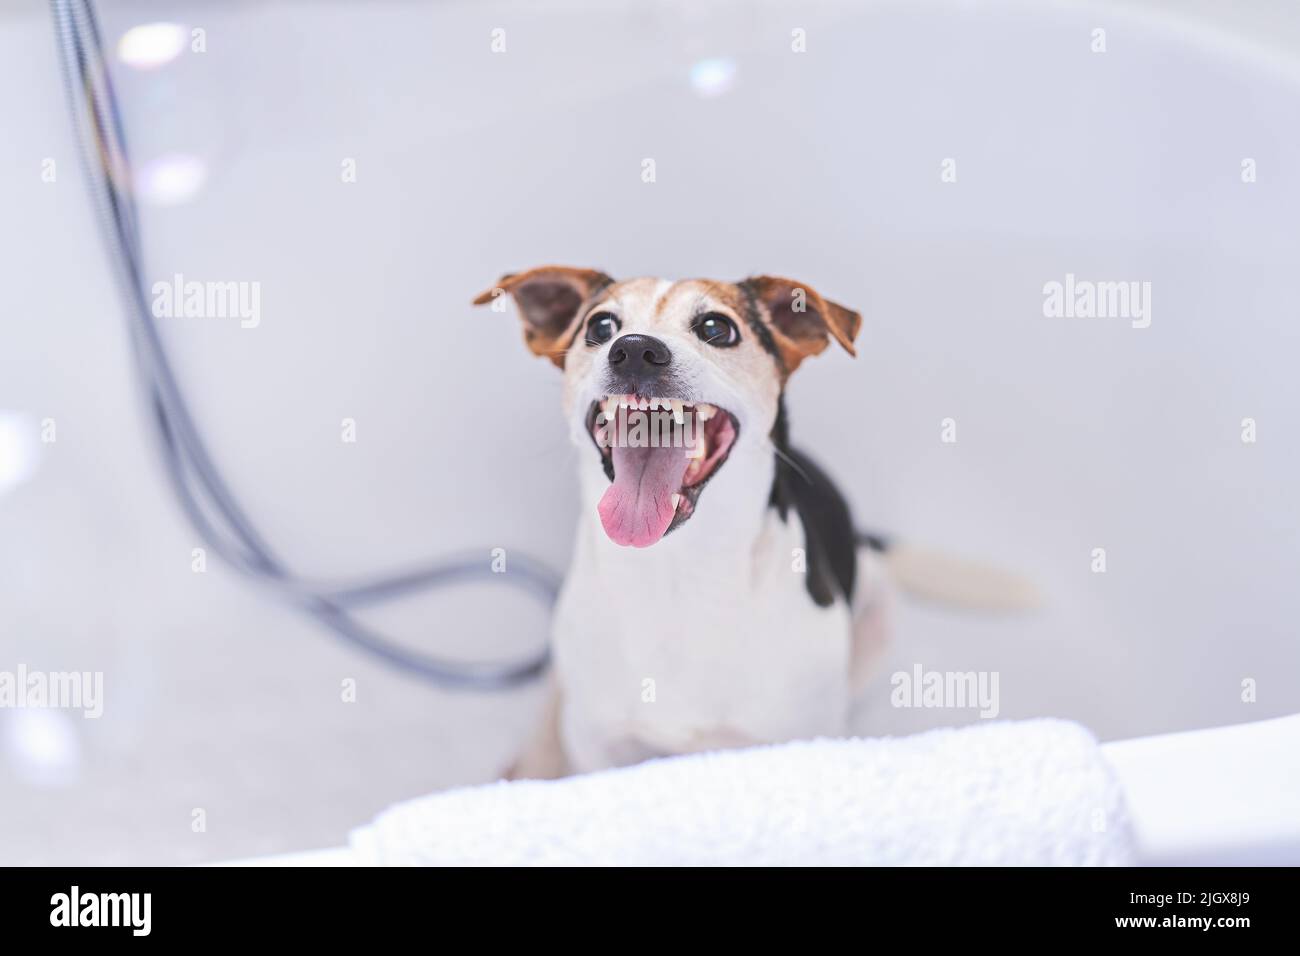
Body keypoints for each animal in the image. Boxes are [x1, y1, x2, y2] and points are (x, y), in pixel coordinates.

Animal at [473, 265, 1029, 775]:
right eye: (601, 326)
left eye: (717, 328)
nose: (633, 350)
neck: (680, 572)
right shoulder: (601, 747)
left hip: (878, 618)